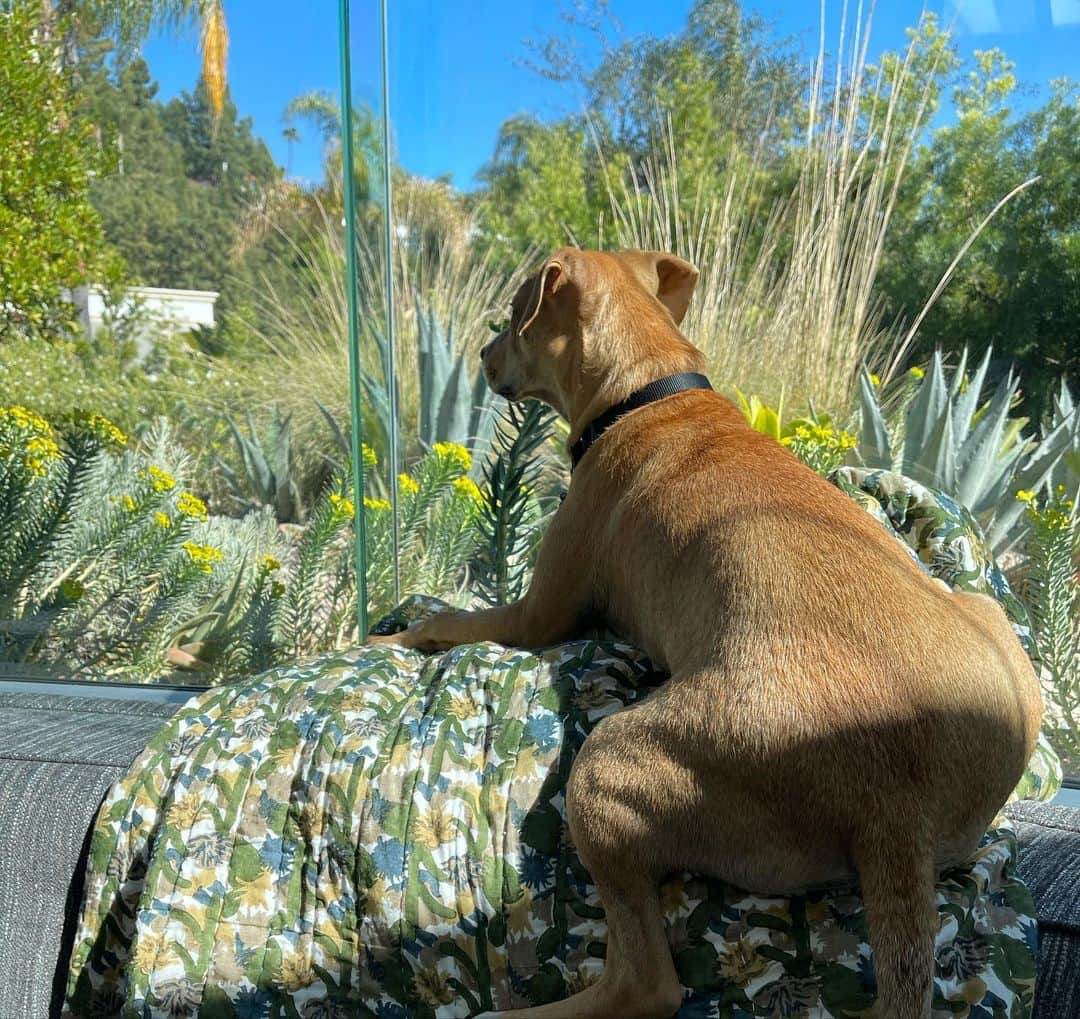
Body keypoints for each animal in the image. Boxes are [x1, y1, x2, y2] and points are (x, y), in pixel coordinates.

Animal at [369, 248, 1036, 1019]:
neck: (650, 391)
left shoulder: (536, 613)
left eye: (513, 316)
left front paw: (390, 635)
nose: (480, 356)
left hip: (606, 764)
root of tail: (896, 806)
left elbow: (445, 619)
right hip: (982, 619)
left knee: (645, 983)